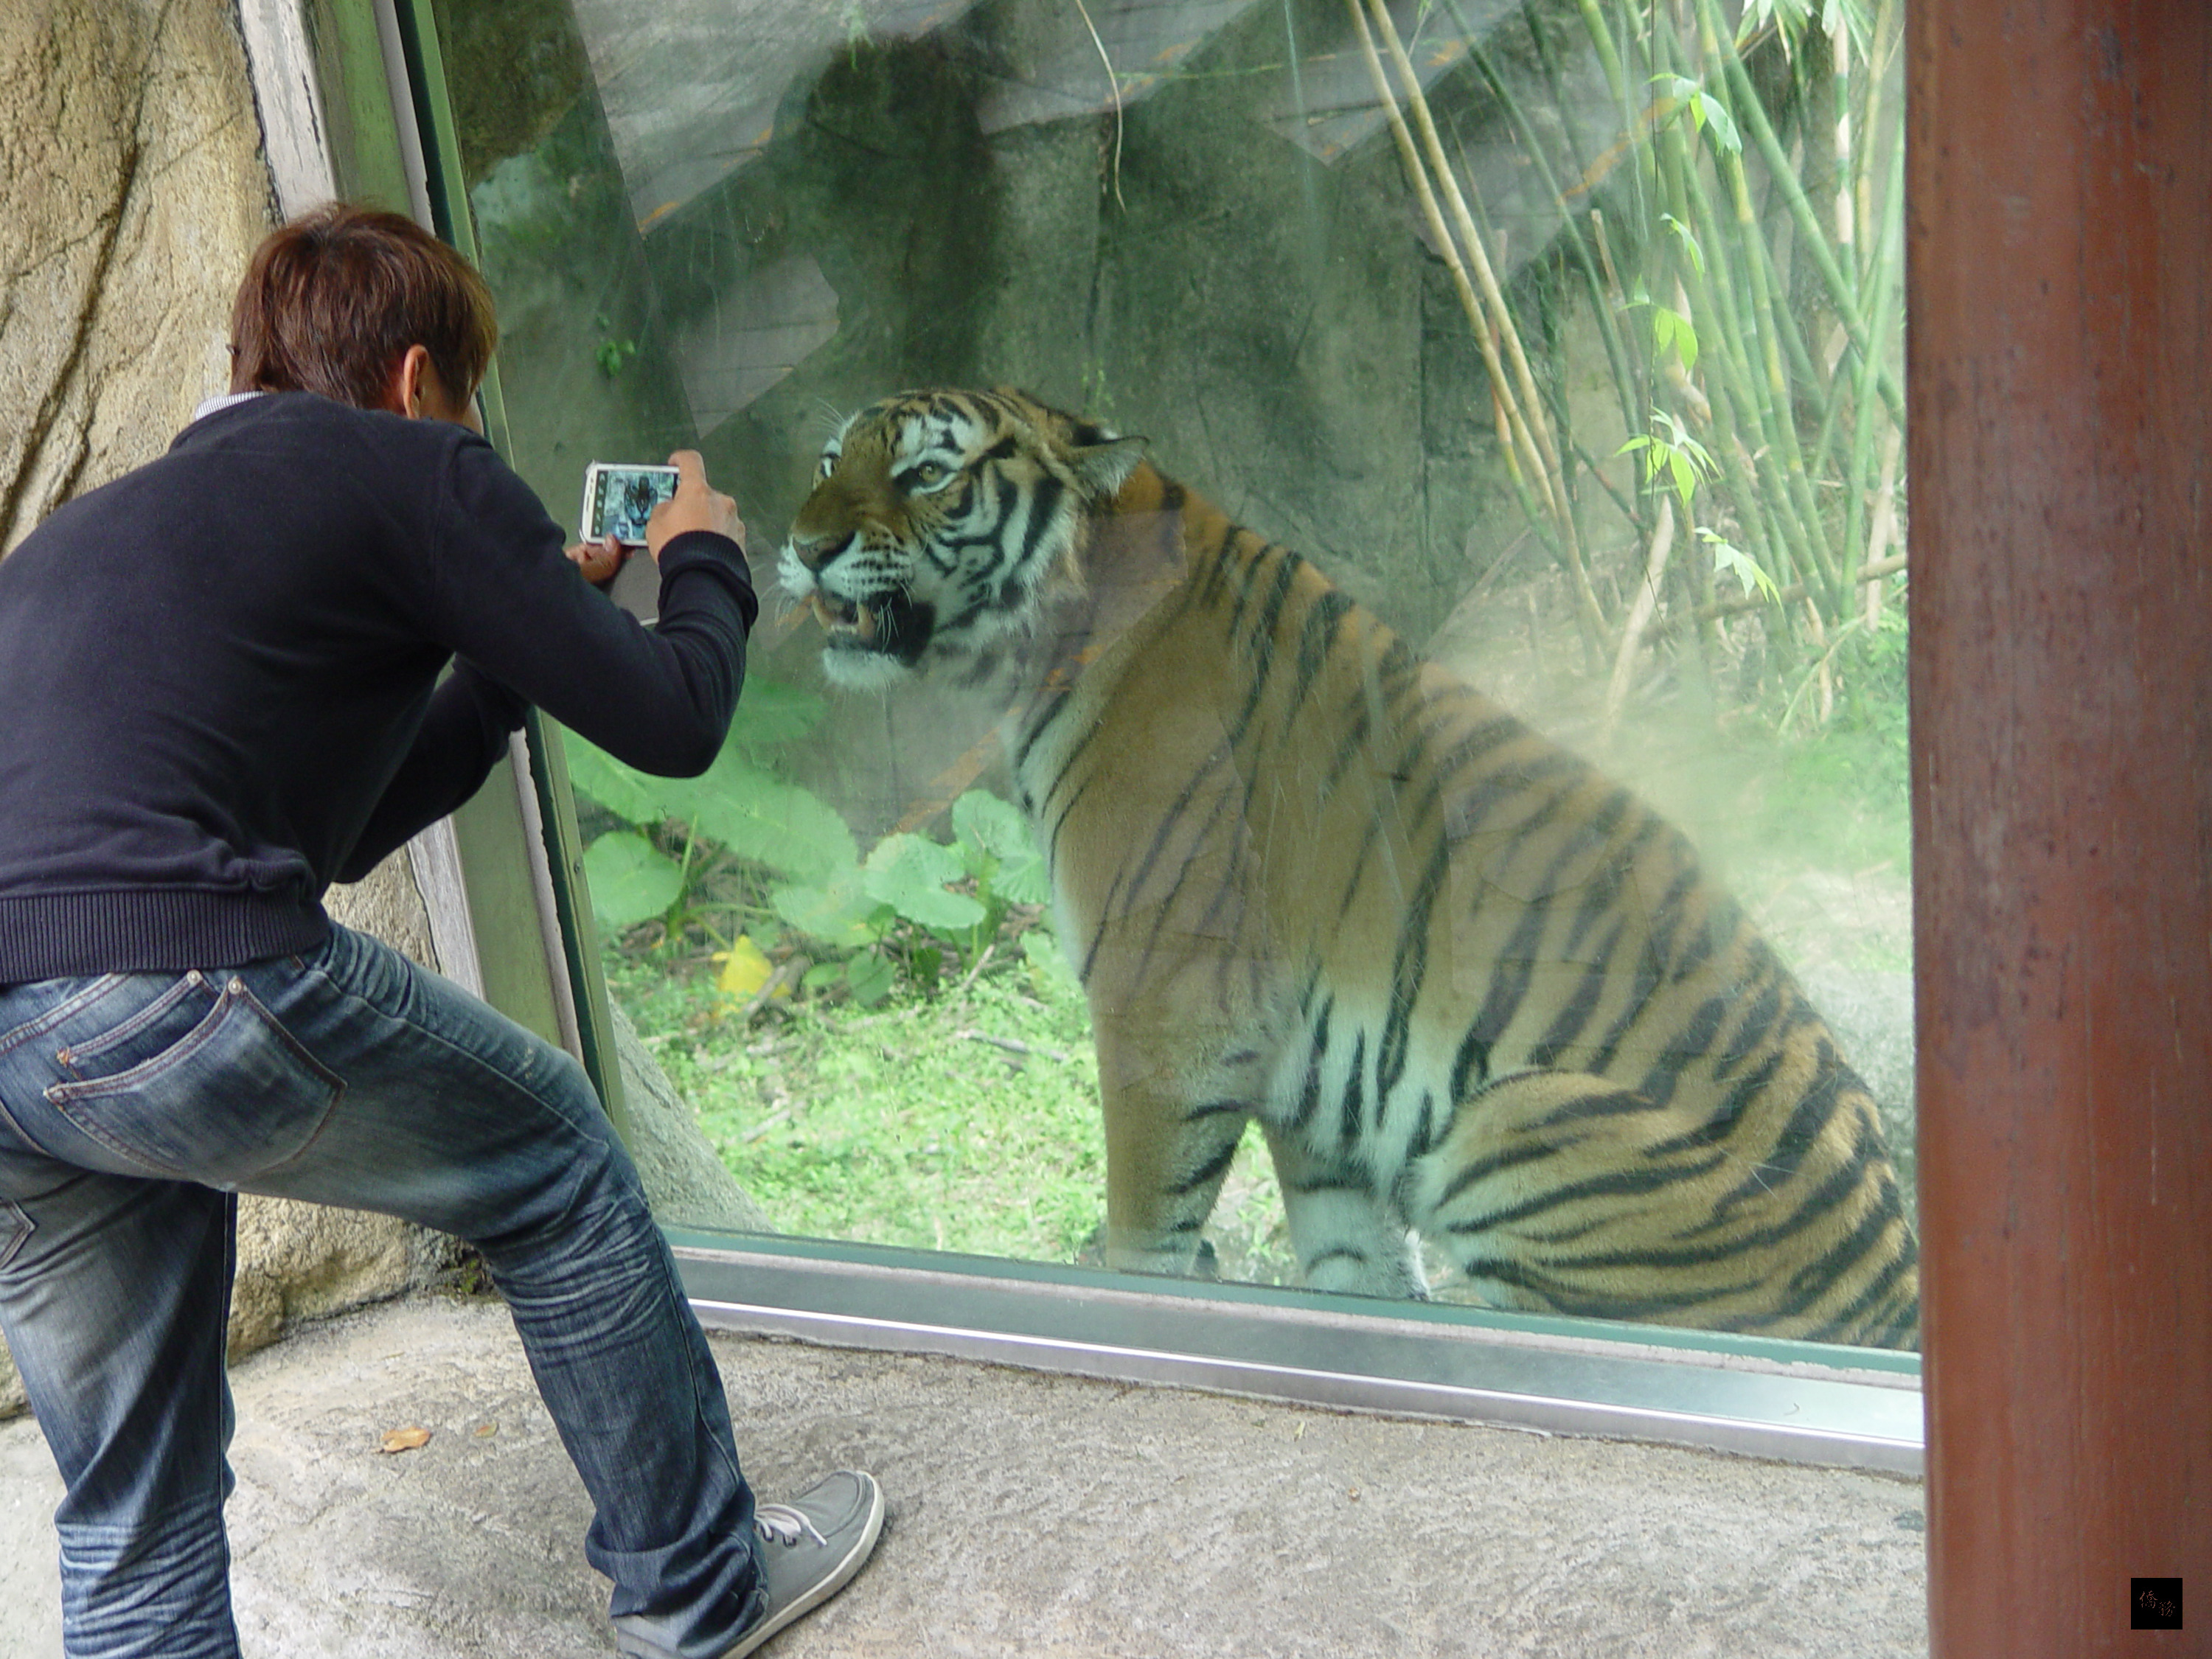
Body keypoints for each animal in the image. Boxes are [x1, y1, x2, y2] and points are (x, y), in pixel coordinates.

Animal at [779, 386, 1919, 1349]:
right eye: (832, 459)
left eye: (928, 474)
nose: (803, 545)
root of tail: (1896, 1302)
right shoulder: (1318, 1077)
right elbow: (1352, 1256)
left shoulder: (1166, 1003)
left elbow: (1146, 1214)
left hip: (1509, 1123)